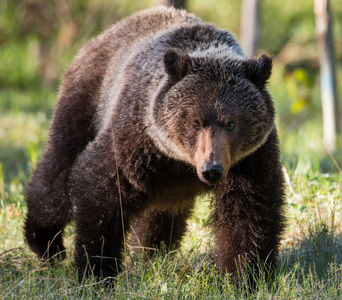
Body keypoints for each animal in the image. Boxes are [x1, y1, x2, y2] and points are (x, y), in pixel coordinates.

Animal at [23, 7, 286, 284]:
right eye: (195, 122)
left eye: (232, 123)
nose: (211, 169)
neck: (181, 161)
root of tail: (102, 36)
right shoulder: (138, 139)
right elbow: (99, 189)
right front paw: (97, 271)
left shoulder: (249, 159)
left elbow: (249, 213)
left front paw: (245, 277)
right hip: (84, 104)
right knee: (57, 177)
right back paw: (45, 243)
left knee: (158, 217)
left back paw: (150, 254)